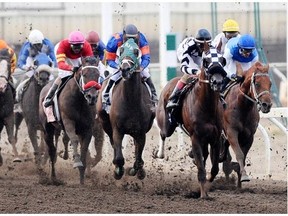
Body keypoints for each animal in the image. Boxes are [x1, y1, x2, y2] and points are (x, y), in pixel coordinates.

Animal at [38, 55, 101, 184]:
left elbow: (84, 148)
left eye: (98, 75)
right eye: (84, 74)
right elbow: (74, 139)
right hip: (47, 129)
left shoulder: (87, 128)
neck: (80, 100)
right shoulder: (68, 122)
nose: (92, 97)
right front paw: (77, 162)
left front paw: (82, 178)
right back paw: (53, 178)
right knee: (52, 151)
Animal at [96, 39, 155, 181]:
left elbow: (138, 158)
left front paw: (136, 170)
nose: (124, 69)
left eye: (136, 51)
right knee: (113, 143)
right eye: (121, 50)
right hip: (105, 123)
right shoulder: (117, 129)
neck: (131, 102)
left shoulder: (141, 132)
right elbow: (118, 156)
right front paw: (118, 171)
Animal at [155, 43, 227, 198]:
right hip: (168, 124)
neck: (206, 105)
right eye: (206, 61)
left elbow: (214, 169)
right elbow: (201, 169)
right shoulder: (196, 137)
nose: (217, 81)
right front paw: (203, 194)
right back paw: (160, 153)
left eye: (222, 60)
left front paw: (207, 185)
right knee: (163, 133)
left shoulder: (215, 137)